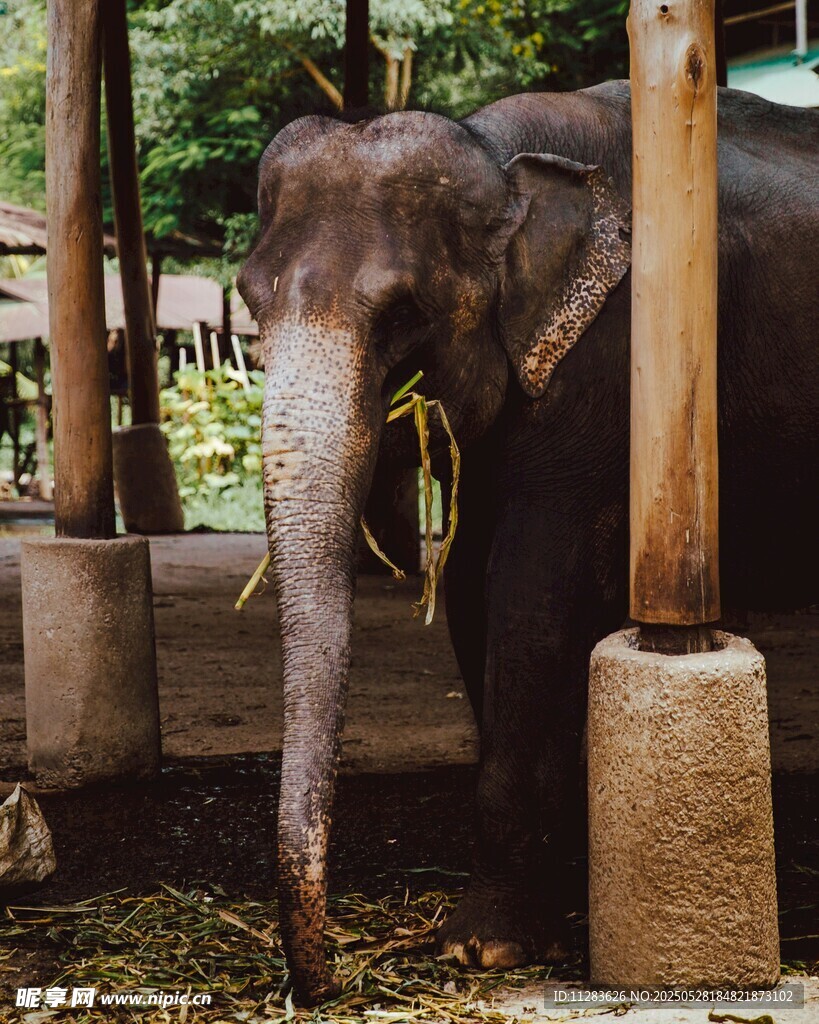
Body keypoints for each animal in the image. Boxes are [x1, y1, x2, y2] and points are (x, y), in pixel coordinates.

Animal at [237, 80, 818, 1004]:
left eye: (403, 313)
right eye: (248, 298)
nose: (318, 984)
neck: (500, 157)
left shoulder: (604, 372)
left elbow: (530, 598)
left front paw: (483, 951)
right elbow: (471, 592)